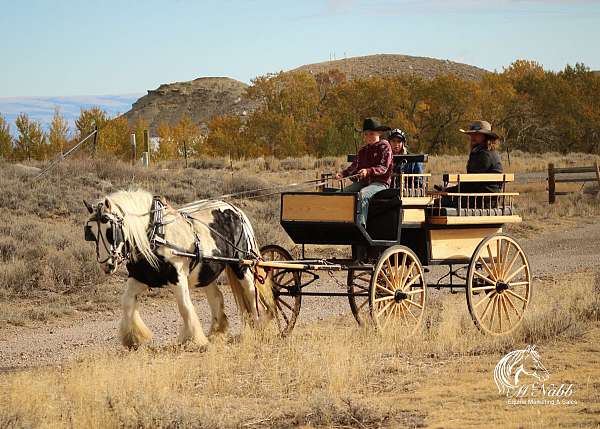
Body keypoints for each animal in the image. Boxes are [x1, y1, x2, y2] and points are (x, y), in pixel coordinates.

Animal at [83, 189, 276, 350]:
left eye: (110, 229)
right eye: (90, 232)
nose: (106, 264)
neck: (155, 233)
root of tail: (234, 209)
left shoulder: (178, 276)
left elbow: (184, 306)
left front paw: (193, 339)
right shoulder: (140, 278)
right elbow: (127, 302)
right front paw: (133, 338)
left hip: (241, 264)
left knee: (251, 293)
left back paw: (259, 326)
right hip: (206, 271)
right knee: (216, 297)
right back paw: (217, 332)